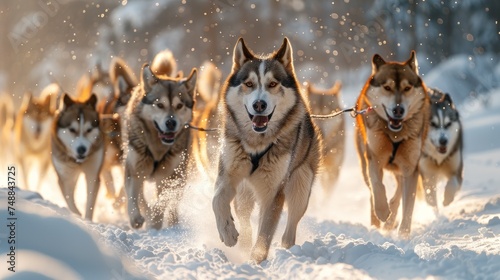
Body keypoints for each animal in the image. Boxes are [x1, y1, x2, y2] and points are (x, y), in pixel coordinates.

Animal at [121, 60, 197, 230]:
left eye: (179, 106)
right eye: (160, 105)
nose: (171, 123)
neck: (157, 148)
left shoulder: (170, 176)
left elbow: (162, 202)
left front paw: (155, 220)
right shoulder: (135, 168)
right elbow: (133, 196)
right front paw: (136, 218)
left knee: (173, 204)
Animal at [210, 37, 320, 262]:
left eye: (272, 84)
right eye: (249, 84)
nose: (259, 104)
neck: (256, 144)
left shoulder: (274, 191)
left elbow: (266, 230)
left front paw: (257, 258)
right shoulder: (227, 175)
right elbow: (217, 200)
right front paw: (228, 233)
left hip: (300, 185)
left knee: (291, 225)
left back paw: (288, 249)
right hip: (244, 193)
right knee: (243, 216)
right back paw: (243, 241)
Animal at [356, 51, 430, 237]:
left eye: (407, 88)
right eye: (387, 88)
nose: (398, 110)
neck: (395, 136)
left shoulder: (411, 167)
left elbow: (408, 205)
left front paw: (403, 234)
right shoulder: (374, 159)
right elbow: (377, 186)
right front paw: (382, 211)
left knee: (399, 190)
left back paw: (390, 222)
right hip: (364, 165)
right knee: (372, 192)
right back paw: (377, 222)